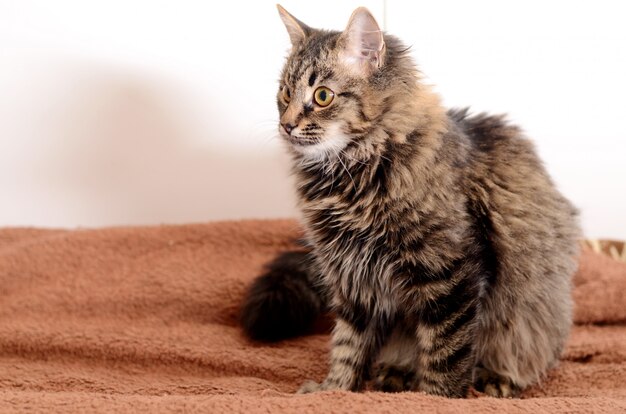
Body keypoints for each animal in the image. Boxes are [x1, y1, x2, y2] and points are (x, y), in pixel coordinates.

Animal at [240, 4, 580, 398]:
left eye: (322, 96)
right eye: (284, 93)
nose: (287, 125)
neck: (351, 177)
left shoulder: (449, 272)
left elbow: (446, 355)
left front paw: (436, 399)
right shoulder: (353, 279)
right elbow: (347, 346)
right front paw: (333, 390)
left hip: (530, 317)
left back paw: (497, 377)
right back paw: (397, 374)